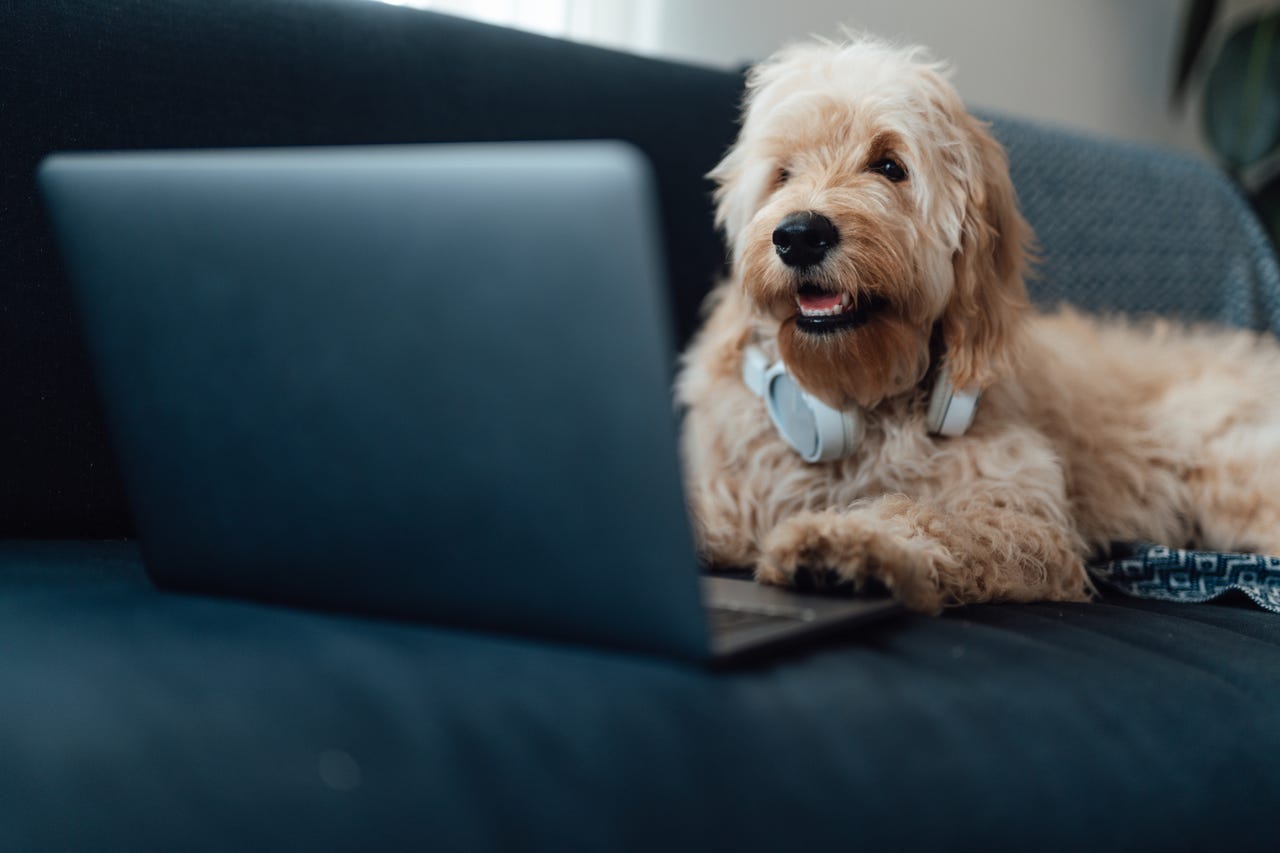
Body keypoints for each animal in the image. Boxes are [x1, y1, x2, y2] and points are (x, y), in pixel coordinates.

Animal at [675, 36, 1280, 612]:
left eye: (889, 166)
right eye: (783, 174)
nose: (799, 235)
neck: (860, 398)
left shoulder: (1024, 517)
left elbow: (930, 517)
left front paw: (848, 542)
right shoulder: (733, 489)